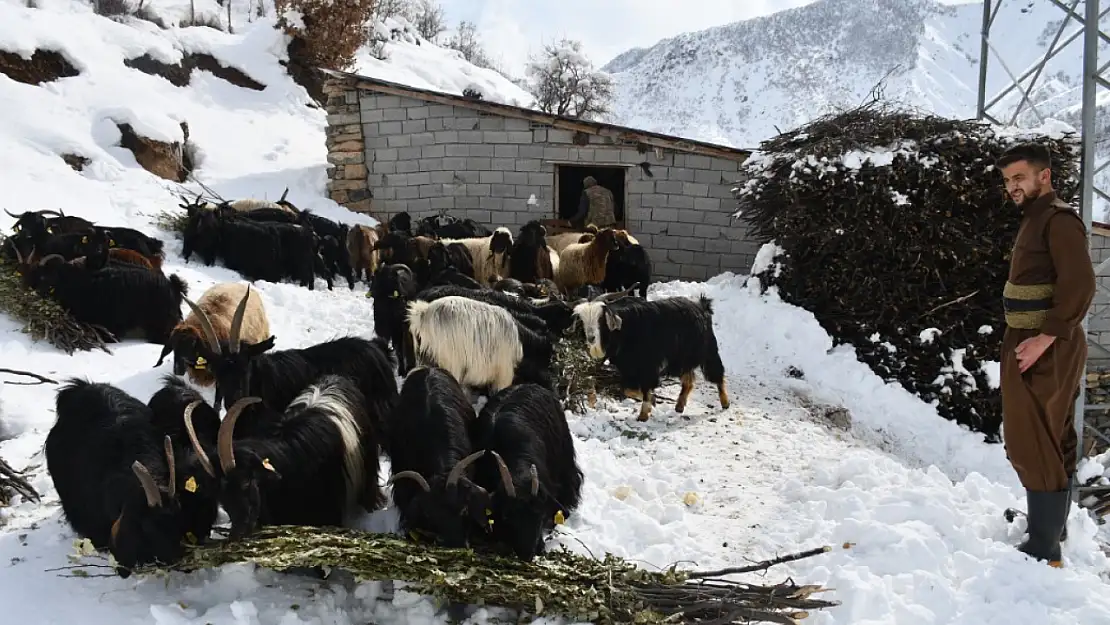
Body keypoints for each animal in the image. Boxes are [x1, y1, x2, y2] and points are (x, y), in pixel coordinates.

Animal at [572, 295, 728, 424]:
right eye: (583, 321)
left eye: (601, 320)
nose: (591, 338)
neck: (625, 331)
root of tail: (702, 307)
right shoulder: (628, 367)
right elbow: (628, 389)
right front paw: (652, 401)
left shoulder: (648, 366)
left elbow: (646, 386)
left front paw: (643, 415)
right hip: (681, 358)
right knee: (688, 380)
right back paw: (679, 406)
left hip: (707, 351)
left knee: (716, 373)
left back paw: (725, 402)